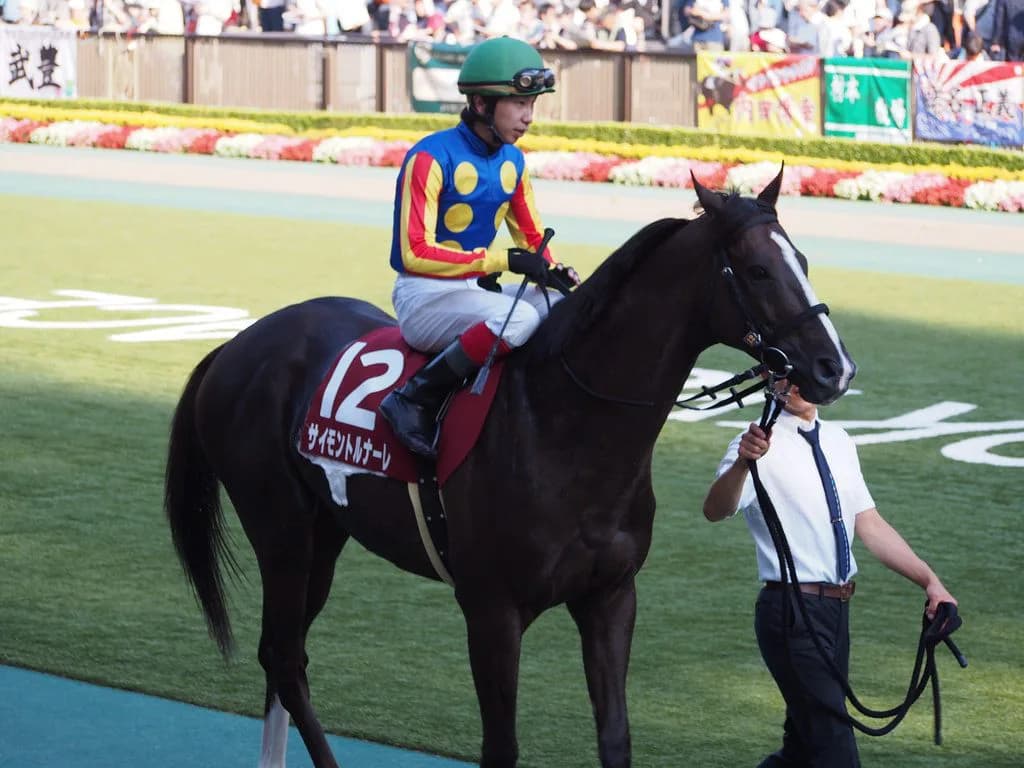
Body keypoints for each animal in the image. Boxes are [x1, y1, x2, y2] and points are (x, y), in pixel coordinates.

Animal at [164, 170, 857, 768]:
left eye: (803, 261)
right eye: (760, 270)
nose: (836, 368)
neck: (567, 426)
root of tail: (238, 343)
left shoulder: (610, 596)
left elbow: (615, 738)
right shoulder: (492, 611)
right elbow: (501, 749)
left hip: (323, 533)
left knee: (283, 655)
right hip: (279, 527)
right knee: (284, 656)